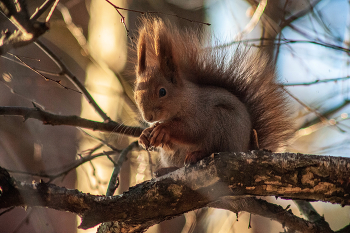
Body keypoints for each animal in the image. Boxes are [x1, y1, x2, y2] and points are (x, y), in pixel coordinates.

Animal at [134, 17, 292, 167]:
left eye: (162, 92)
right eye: (135, 95)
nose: (148, 117)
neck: (184, 99)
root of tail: (245, 148)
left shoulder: (199, 111)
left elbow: (193, 130)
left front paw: (164, 129)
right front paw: (145, 134)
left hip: (223, 124)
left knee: (213, 149)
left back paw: (197, 154)